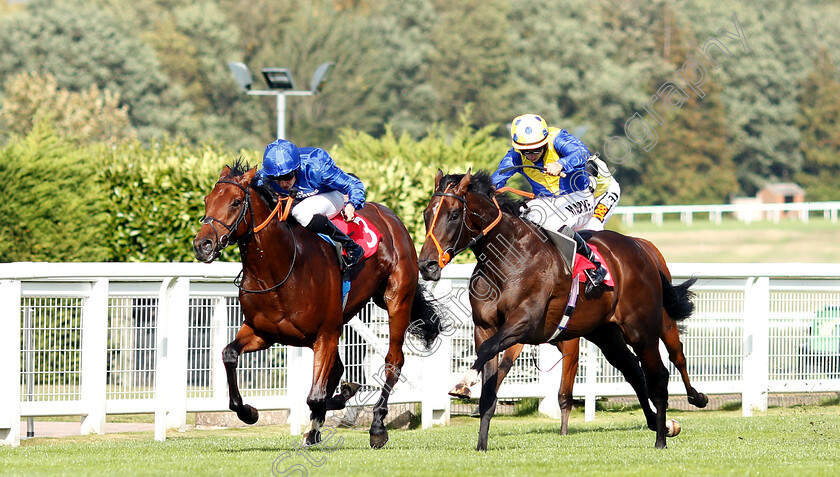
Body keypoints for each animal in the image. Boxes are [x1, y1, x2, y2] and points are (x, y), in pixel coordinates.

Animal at [194, 160, 442, 446]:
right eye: (207, 199)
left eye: (235, 202)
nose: (202, 244)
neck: (281, 268)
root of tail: (390, 216)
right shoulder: (262, 332)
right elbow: (229, 355)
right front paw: (249, 412)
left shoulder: (325, 334)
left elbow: (315, 396)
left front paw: (326, 415)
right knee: (339, 370)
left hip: (396, 301)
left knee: (393, 361)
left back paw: (377, 427)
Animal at [496, 235, 704, 436]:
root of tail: (644, 245)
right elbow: (502, 368)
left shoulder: (570, 343)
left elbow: (564, 393)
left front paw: (563, 432)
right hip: (615, 336)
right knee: (634, 368)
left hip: (661, 322)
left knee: (677, 355)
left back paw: (696, 397)